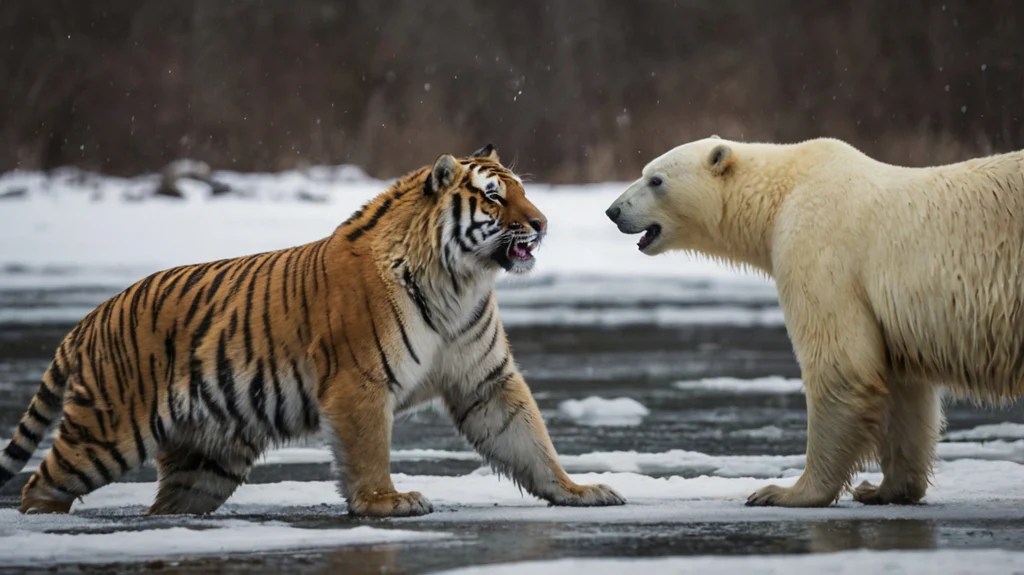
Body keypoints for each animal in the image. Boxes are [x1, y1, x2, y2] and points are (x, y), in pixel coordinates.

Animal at [605, 135, 1024, 507]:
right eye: (645, 173)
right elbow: (904, 391)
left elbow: (841, 366)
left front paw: (784, 492)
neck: (782, 194)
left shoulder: (817, 247)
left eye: (655, 179)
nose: (613, 211)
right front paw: (881, 489)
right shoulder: (891, 315)